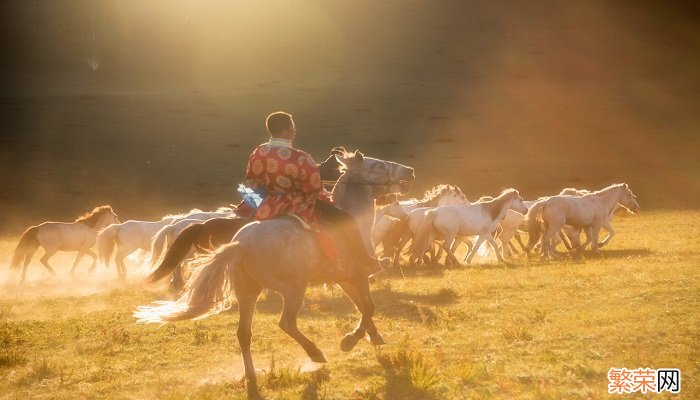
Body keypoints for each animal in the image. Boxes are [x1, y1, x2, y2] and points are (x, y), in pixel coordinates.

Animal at [134, 148, 412, 400]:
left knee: (243, 334)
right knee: (286, 323)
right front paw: (350, 341)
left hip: (247, 292)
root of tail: (240, 244)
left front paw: (374, 337)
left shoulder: (345, 280)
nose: (409, 171)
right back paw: (315, 353)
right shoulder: (357, 277)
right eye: (378, 166)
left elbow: (363, 307)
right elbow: (368, 307)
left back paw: (251, 374)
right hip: (293, 289)